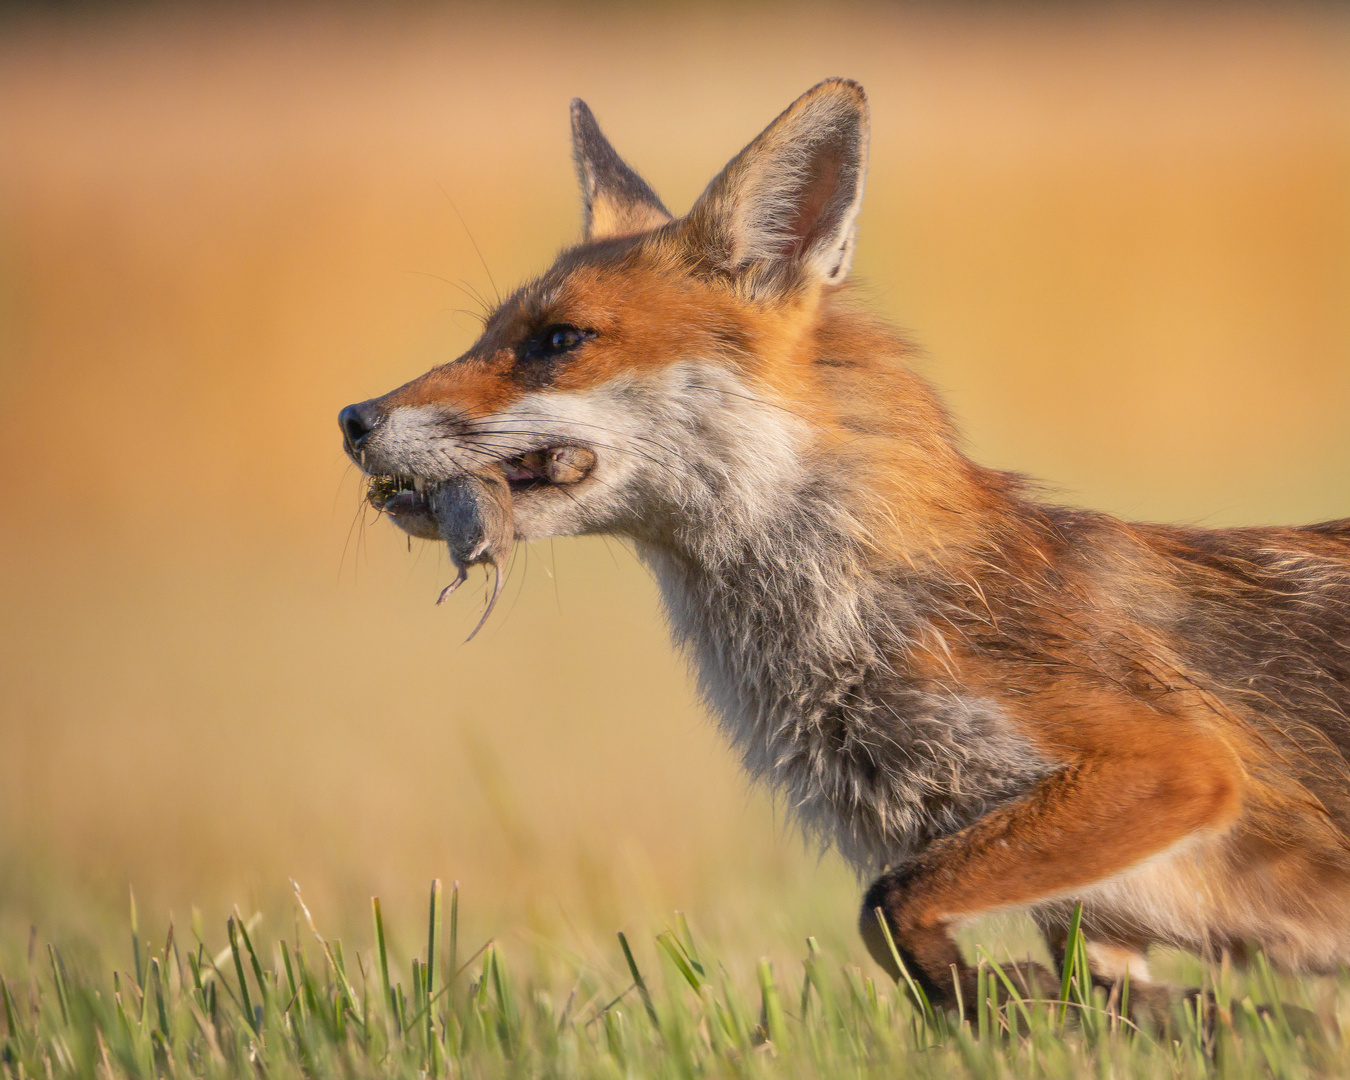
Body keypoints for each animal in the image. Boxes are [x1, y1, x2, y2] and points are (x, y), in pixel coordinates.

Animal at [342, 77, 1350, 1015]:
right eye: (486, 335)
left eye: (558, 340)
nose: (354, 419)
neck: (857, 618)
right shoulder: (1094, 915)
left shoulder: (1168, 769)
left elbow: (889, 907)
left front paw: (995, 1004)